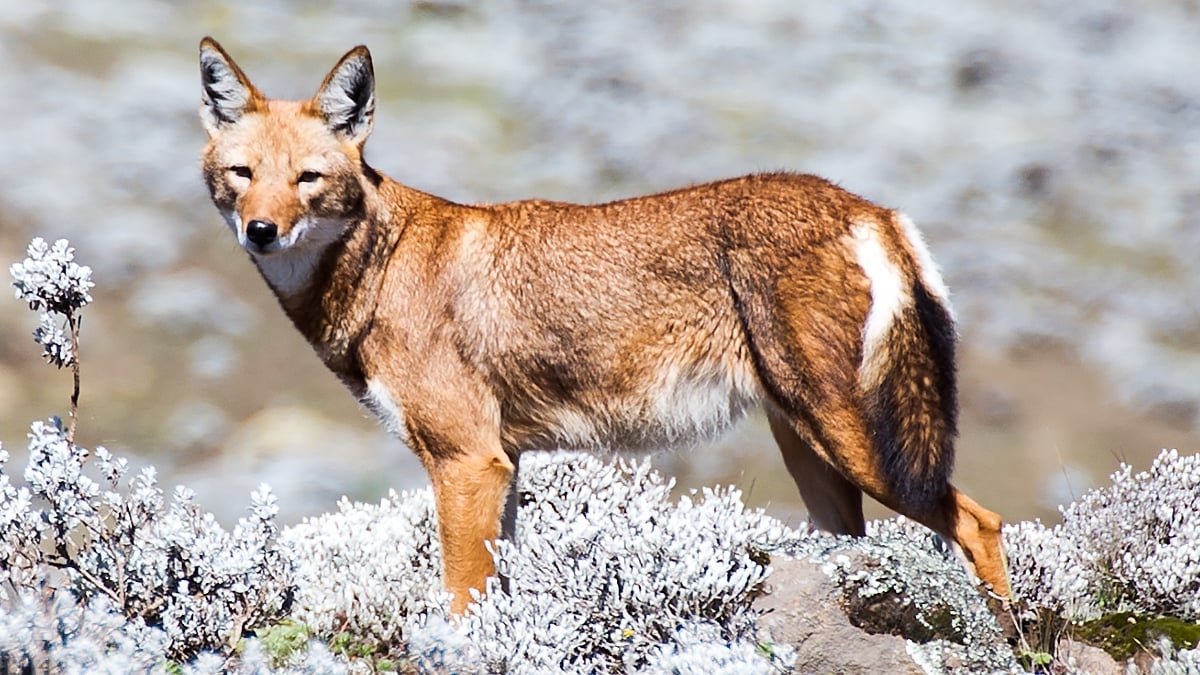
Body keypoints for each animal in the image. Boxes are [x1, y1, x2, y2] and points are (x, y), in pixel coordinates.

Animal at [199, 38, 1012, 614]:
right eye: (243, 174)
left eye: (307, 178)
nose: (262, 231)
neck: (380, 263)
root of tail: (870, 208)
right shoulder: (501, 465)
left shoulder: (467, 462)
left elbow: (461, 602)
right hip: (813, 455)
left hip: (862, 448)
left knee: (982, 523)